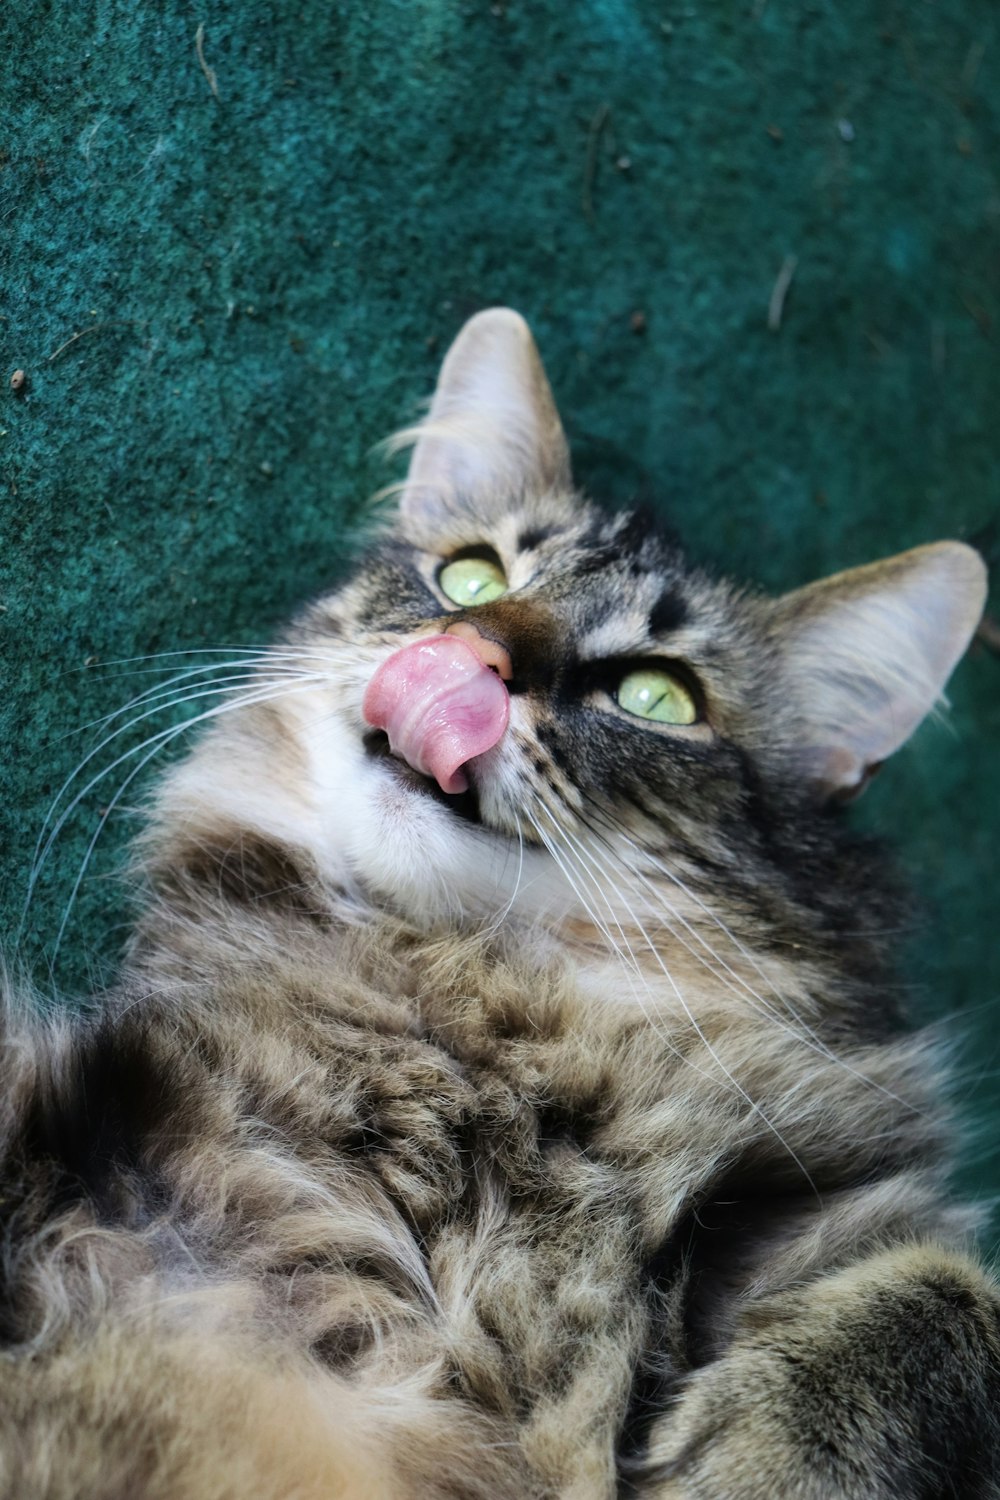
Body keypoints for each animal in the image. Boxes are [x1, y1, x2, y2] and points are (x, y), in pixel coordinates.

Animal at [1, 307, 1000, 1500]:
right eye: (472, 580)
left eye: (657, 695)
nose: (466, 656)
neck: (491, 1001)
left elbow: (949, 1291)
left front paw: (756, 1455)